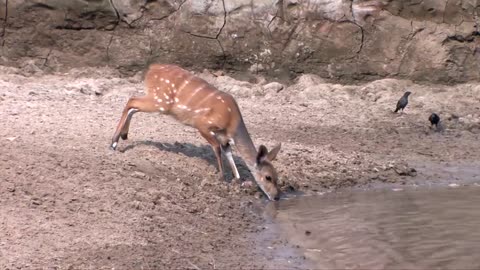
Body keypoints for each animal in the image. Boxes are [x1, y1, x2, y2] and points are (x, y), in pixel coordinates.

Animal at [110, 63, 282, 200]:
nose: (276, 197)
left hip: (158, 101)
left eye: (277, 177)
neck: (232, 122)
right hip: (161, 102)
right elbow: (217, 148)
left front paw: (238, 180)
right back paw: (113, 143)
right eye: (268, 177)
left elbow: (229, 155)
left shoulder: (224, 138)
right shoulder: (203, 125)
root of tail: (152, 68)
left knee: (133, 106)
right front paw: (222, 177)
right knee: (132, 100)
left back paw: (123, 136)